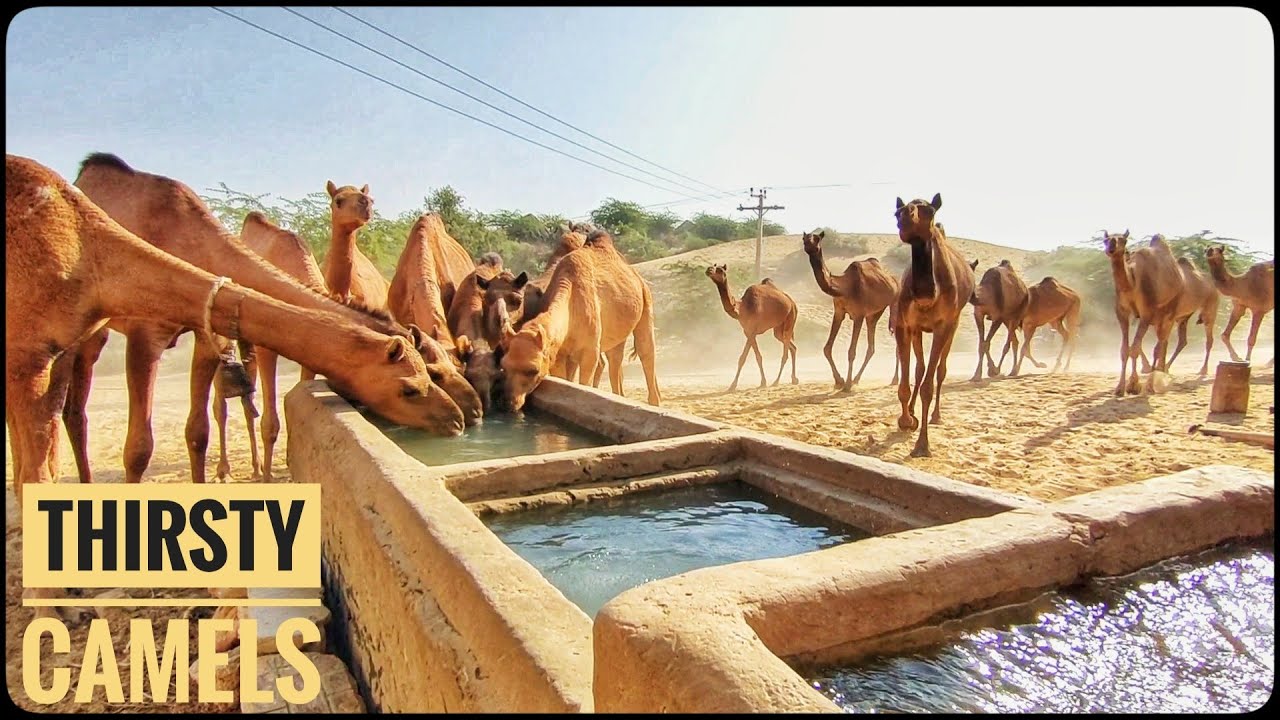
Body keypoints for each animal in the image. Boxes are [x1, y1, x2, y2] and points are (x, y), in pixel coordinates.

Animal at [499, 229, 660, 411]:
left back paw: (654, 402)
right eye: (504, 366)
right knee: (615, 359)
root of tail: (635, 274)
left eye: (533, 370)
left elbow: (585, 382)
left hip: (646, 302)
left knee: (646, 352)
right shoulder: (559, 353)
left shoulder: (590, 351)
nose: (509, 403)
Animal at [801, 230, 900, 390]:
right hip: (874, 313)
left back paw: (894, 379)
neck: (844, 288)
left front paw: (846, 384)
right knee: (871, 347)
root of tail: (894, 279)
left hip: (894, 304)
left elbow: (851, 352)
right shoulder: (839, 312)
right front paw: (839, 380)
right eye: (804, 238)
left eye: (817, 238)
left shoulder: (858, 315)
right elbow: (827, 348)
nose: (809, 245)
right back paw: (856, 379)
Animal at [890, 194, 976, 458]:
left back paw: (936, 416)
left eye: (929, 210)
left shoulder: (943, 325)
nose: (905, 214)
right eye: (896, 212)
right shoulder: (905, 325)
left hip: (953, 325)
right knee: (920, 368)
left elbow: (928, 383)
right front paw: (906, 420)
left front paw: (922, 445)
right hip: (918, 330)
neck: (929, 294)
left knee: (940, 369)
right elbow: (907, 381)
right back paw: (912, 413)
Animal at [1102, 230, 1186, 396]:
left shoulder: (1146, 313)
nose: (1111, 248)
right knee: (1162, 343)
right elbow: (1124, 350)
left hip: (1170, 311)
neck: (1132, 283)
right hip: (1159, 318)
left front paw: (1133, 385)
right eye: (1105, 240)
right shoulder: (1122, 313)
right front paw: (1120, 388)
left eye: (1123, 239)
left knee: (1160, 345)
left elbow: (1134, 349)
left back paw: (1155, 380)